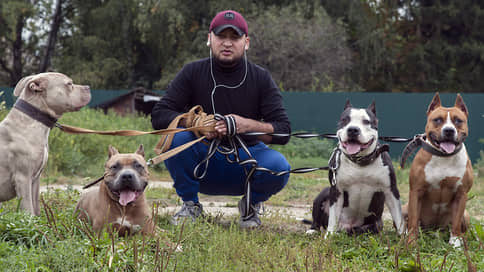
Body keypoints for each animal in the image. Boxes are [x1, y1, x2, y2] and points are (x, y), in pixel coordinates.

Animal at [0, 72, 91, 215]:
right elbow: (28, 209)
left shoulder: (35, 180)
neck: (33, 121)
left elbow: (36, 207)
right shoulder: (22, 178)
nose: (88, 87)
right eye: (69, 84)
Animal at [306, 100, 404, 236]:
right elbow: (333, 218)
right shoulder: (336, 190)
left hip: (375, 224)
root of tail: (346, 226)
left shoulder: (391, 190)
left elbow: (399, 218)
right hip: (323, 193)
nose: (353, 129)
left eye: (366, 121)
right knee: (317, 220)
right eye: (345, 120)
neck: (359, 163)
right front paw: (329, 236)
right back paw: (313, 230)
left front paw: (405, 237)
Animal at [404, 92, 472, 248]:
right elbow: (413, 221)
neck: (444, 157)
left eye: (458, 121)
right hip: (404, 207)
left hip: (466, 214)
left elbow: (456, 223)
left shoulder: (461, 194)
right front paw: (411, 243)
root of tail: (434, 230)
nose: (449, 130)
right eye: (438, 120)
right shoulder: (416, 191)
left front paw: (455, 243)